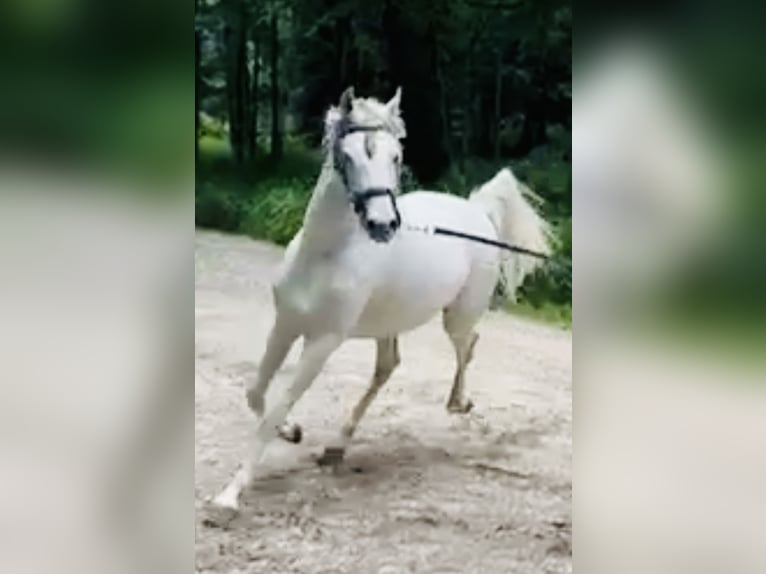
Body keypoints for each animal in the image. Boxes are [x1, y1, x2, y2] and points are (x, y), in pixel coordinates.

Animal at [210, 86, 552, 520]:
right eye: (349, 155)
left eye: (396, 156)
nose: (382, 225)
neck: (324, 257)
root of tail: (477, 210)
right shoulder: (285, 324)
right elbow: (255, 392)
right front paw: (293, 431)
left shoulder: (322, 342)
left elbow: (274, 409)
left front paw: (230, 494)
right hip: (388, 322)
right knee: (388, 367)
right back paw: (338, 446)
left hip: (457, 316)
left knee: (468, 345)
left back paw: (459, 403)